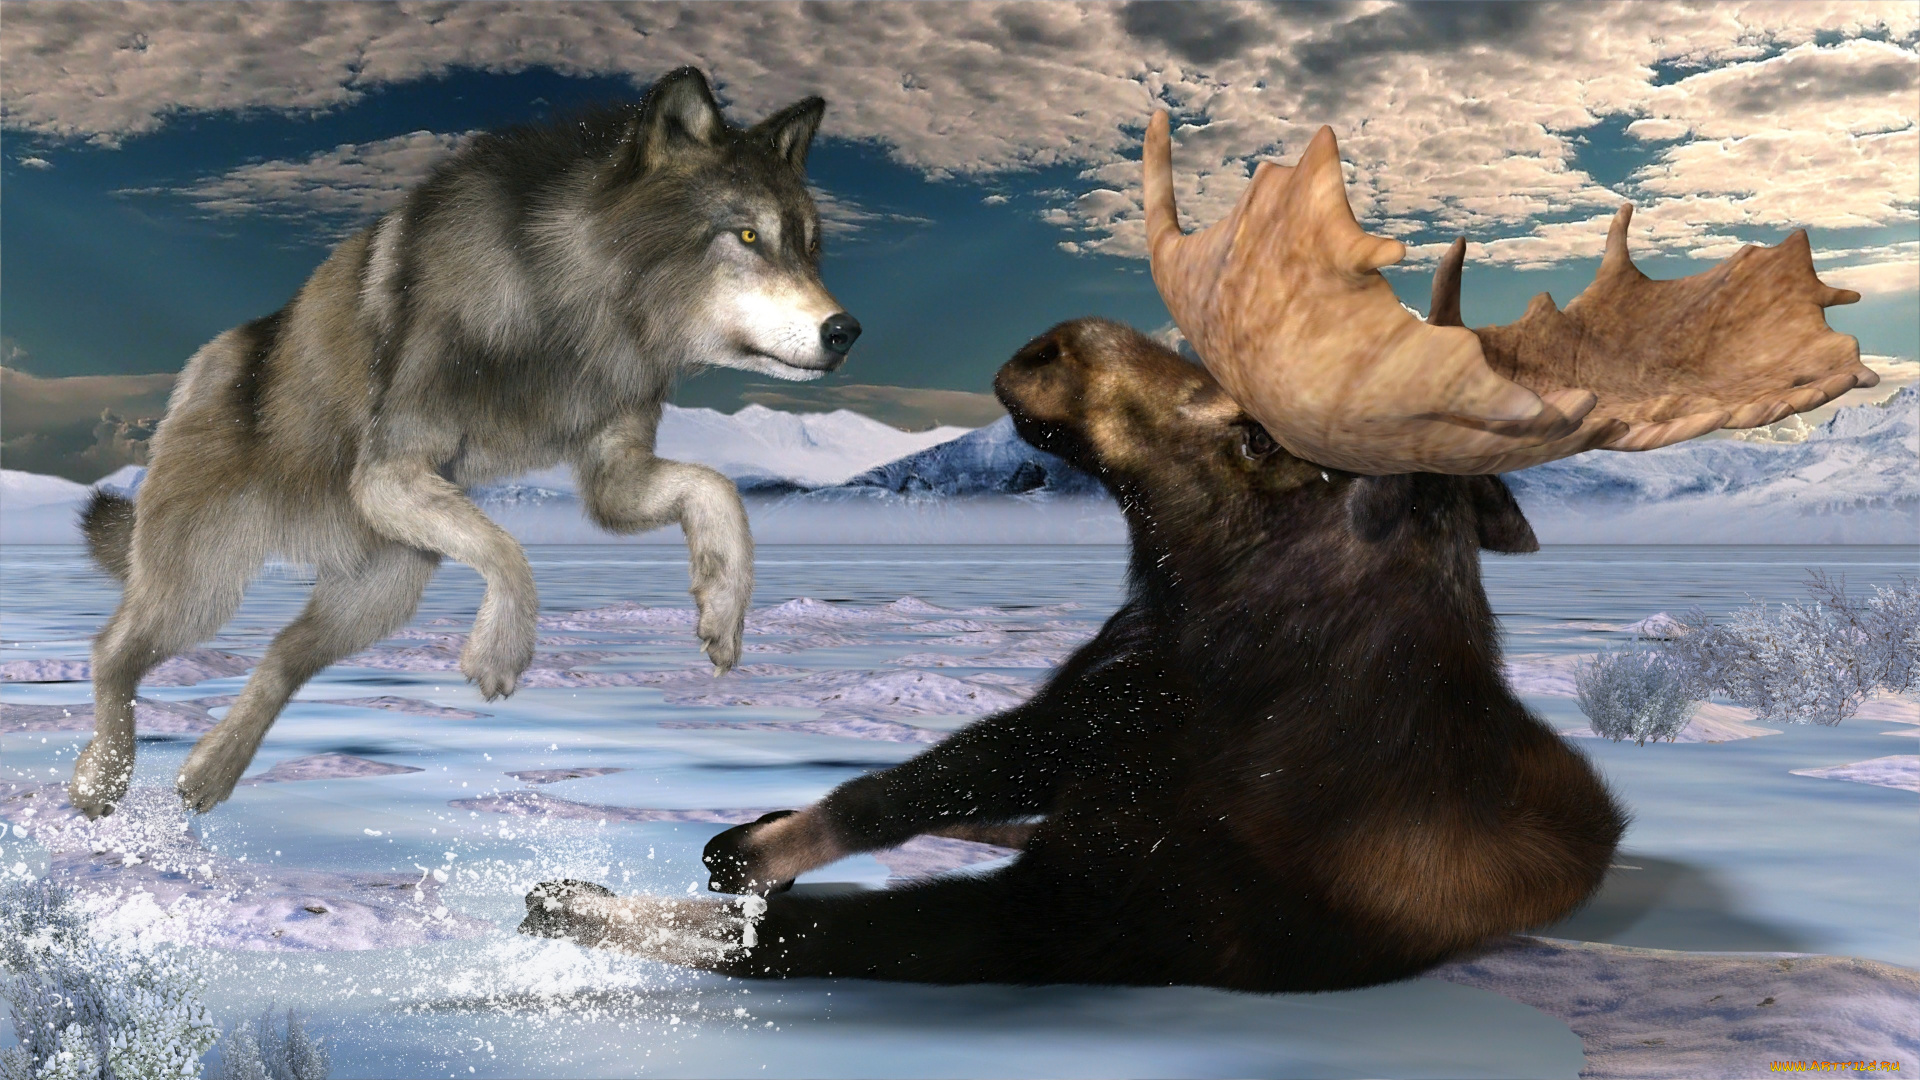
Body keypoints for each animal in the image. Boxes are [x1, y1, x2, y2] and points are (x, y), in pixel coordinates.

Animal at [72, 67, 859, 818]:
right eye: (749, 237)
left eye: (811, 247)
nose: (846, 330)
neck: (565, 300)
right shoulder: (389, 471)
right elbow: (509, 551)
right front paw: (500, 649)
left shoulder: (614, 476)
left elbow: (719, 490)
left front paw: (723, 612)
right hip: (201, 588)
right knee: (111, 652)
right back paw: (98, 781)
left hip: (377, 595)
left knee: (281, 657)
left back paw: (211, 770)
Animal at [518, 111, 1874, 991]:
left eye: (1261, 433)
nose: (1048, 343)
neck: (1201, 688)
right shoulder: (1079, 707)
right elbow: (896, 786)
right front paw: (737, 848)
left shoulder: (1099, 919)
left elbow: (803, 942)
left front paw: (576, 894)